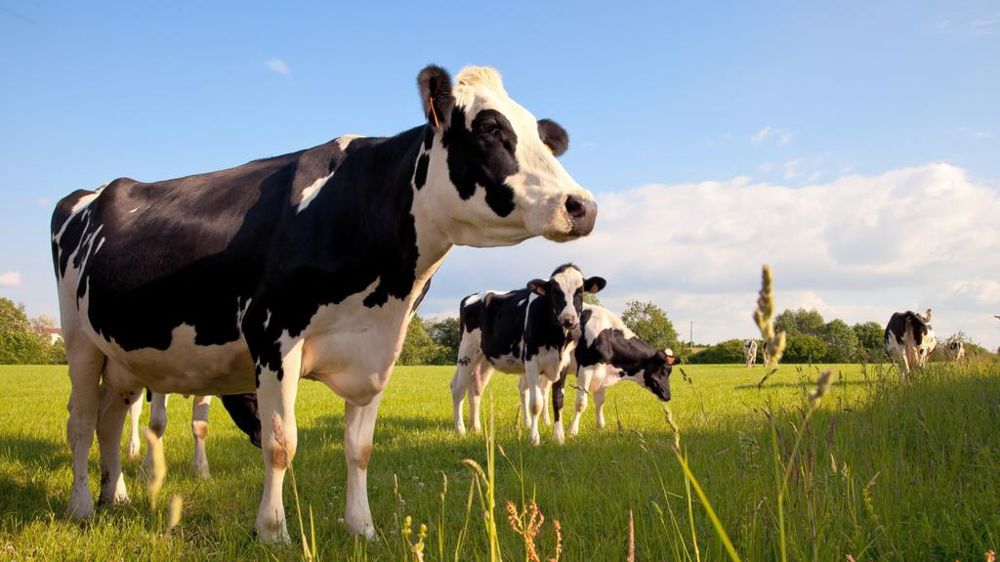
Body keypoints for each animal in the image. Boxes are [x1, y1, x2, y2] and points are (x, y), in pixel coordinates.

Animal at [450, 264, 606, 445]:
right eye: (555, 292)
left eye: (580, 291)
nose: (569, 319)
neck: (557, 338)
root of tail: (473, 296)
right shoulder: (532, 362)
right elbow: (536, 403)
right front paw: (534, 439)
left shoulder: (564, 363)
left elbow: (558, 400)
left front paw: (559, 437)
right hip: (467, 351)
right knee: (458, 388)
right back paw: (460, 430)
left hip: (484, 359)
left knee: (475, 388)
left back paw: (476, 428)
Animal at [550, 304, 678, 443]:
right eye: (664, 370)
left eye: (670, 371)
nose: (668, 396)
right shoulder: (585, 370)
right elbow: (581, 403)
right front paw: (573, 432)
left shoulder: (601, 374)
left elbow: (600, 402)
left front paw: (601, 427)